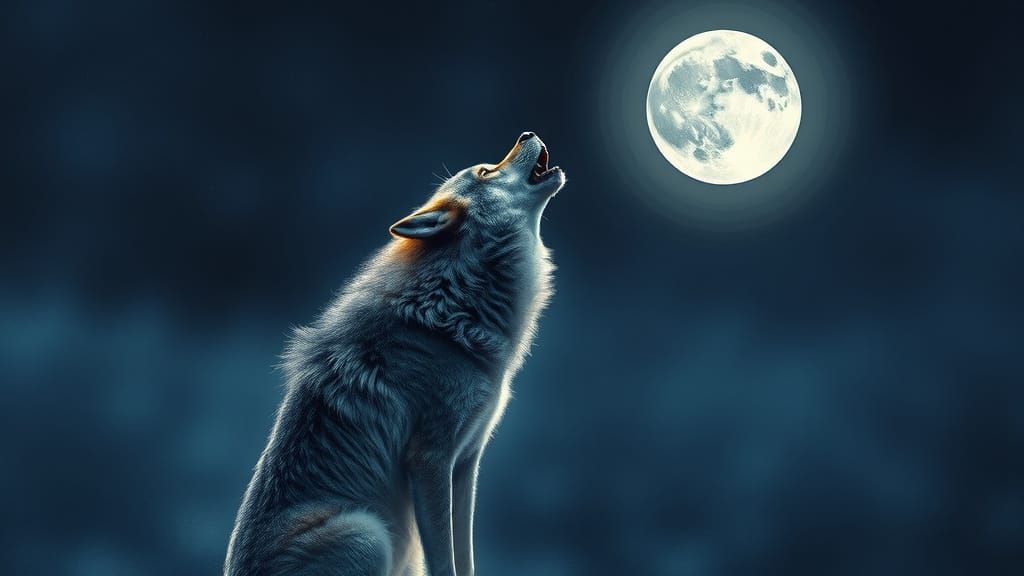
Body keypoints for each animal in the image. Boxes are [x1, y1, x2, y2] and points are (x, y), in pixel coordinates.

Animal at [224, 132, 565, 576]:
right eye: (485, 171)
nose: (527, 134)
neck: (454, 305)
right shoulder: (430, 460)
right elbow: (445, 562)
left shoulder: (466, 464)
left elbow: (465, 556)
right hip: (369, 534)